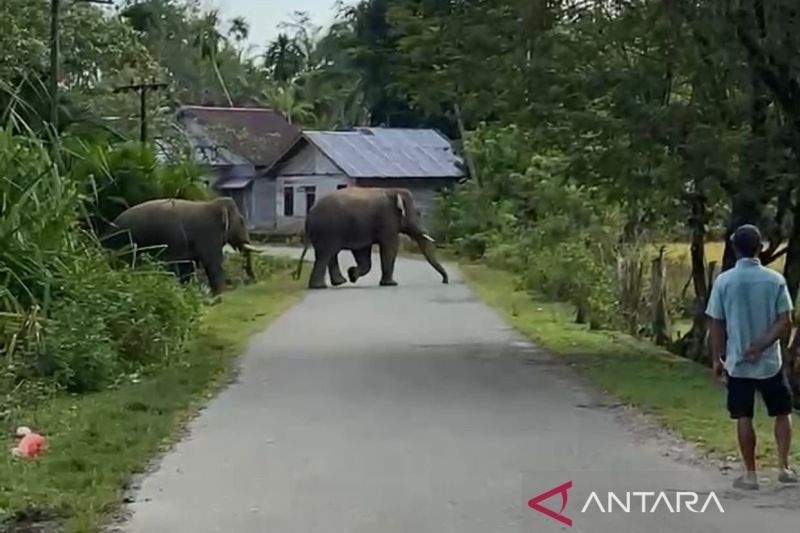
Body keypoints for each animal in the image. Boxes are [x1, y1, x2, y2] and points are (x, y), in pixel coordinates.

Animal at [100, 196, 256, 296]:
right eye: (242, 221)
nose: (252, 281)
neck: (211, 204)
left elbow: (189, 265)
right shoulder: (207, 235)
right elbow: (211, 262)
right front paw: (218, 294)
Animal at [292, 186, 450, 288]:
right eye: (418, 214)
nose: (445, 281)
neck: (394, 191)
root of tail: (310, 214)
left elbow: (363, 252)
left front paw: (352, 275)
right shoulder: (387, 220)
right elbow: (390, 246)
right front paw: (391, 284)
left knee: (329, 255)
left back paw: (339, 282)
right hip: (328, 231)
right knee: (326, 254)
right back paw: (320, 287)